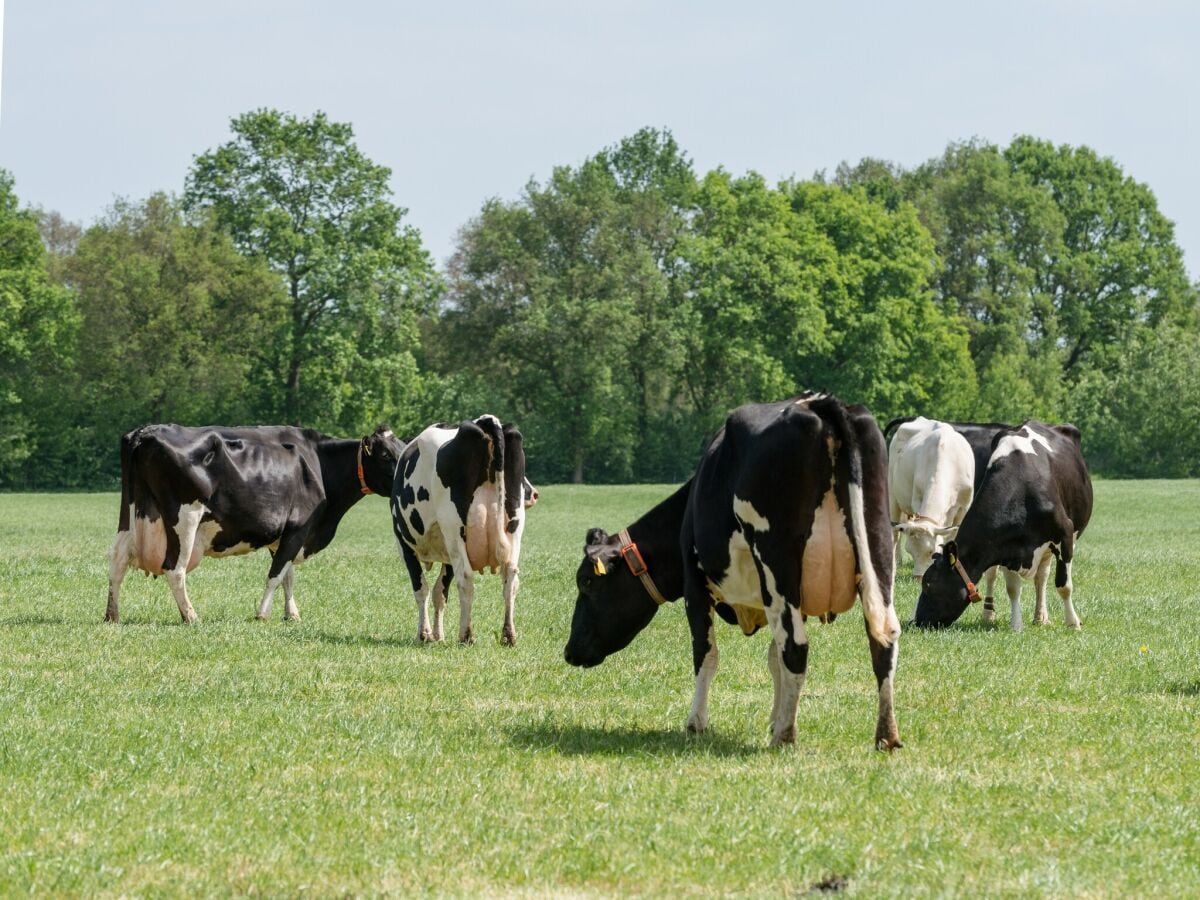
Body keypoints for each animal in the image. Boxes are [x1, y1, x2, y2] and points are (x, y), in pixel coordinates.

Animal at [104, 424, 403, 624]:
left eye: (402, 448)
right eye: (385, 455)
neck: (317, 462)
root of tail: (145, 432)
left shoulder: (283, 534)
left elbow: (287, 575)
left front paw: (291, 614)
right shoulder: (298, 528)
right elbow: (276, 574)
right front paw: (262, 614)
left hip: (128, 516)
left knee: (117, 562)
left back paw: (112, 615)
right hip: (185, 517)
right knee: (174, 569)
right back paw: (191, 616)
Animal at [393, 415, 530, 648]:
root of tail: (484, 421)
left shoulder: (404, 542)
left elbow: (422, 589)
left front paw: (425, 634)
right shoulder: (446, 553)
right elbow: (440, 593)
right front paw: (438, 635)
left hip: (455, 531)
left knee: (465, 578)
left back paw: (466, 635)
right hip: (514, 526)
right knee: (510, 578)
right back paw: (508, 635)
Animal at [561, 393, 902, 753]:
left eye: (586, 582)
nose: (569, 651)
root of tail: (819, 403)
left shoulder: (696, 585)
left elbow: (706, 654)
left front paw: (697, 722)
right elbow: (774, 658)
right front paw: (775, 716)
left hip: (777, 559)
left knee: (797, 646)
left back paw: (785, 736)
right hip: (878, 545)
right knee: (882, 639)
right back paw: (886, 735)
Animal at [888, 417, 979, 578]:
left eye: (931, 551)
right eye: (910, 551)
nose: (918, 578)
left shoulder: (963, 508)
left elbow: (952, 535)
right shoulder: (917, 499)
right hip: (893, 494)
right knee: (895, 534)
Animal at [912, 422, 1094, 633]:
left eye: (929, 586)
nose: (916, 621)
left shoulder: (1064, 535)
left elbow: (1064, 586)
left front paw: (1073, 622)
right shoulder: (1008, 548)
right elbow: (1013, 589)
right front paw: (1016, 625)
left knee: (1042, 578)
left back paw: (1041, 617)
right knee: (999, 577)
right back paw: (992, 614)